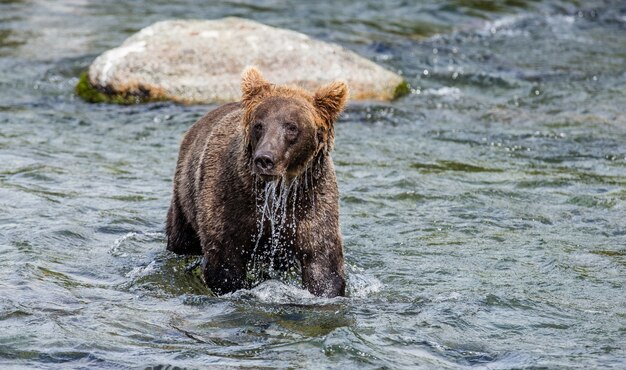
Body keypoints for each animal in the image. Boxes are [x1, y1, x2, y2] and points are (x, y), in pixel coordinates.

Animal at [166, 67, 348, 298]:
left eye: (292, 127)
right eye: (259, 125)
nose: (264, 159)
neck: (277, 191)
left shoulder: (311, 202)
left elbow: (323, 263)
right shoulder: (228, 200)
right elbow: (224, 261)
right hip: (184, 196)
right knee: (181, 238)